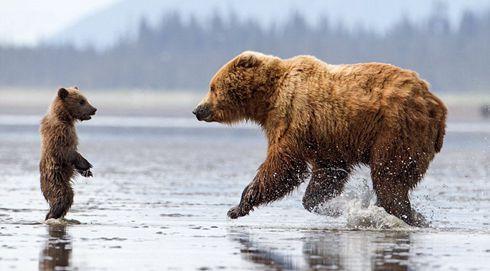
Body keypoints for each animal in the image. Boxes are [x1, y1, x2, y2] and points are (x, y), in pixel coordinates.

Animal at [193, 51, 446, 227]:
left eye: (212, 87)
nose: (197, 110)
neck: (267, 100)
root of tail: (436, 104)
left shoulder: (291, 116)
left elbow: (282, 167)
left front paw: (237, 207)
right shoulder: (325, 140)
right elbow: (328, 173)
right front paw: (327, 204)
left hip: (396, 130)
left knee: (390, 175)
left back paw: (402, 213)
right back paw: (412, 216)